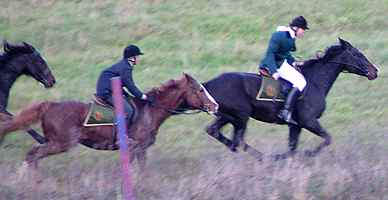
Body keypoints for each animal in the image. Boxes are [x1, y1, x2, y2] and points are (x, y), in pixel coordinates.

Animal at [0, 73, 218, 173]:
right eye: (199, 90)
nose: (215, 106)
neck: (151, 110)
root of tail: (49, 105)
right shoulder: (133, 147)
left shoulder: (140, 149)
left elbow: (142, 169)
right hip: (60, 143)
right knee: (33, 154)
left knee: (33, 155)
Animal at [188, 38, 378, 160]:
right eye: (358, 54)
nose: (375, 71)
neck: (315, 81)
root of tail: (208, 84)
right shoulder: (309, 121)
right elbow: (327, 139)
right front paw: (306, 154)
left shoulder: (296, 125)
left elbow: (293, 148)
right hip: (242, 115)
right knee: (239, 140)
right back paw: (264, 157)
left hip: (228, 116)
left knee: (217, 132)